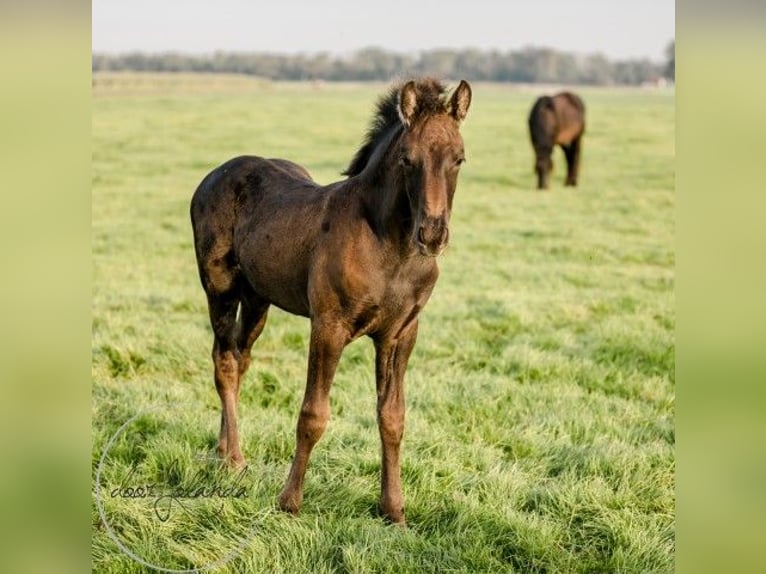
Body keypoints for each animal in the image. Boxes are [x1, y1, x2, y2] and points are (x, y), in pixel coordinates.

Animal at [190, 78, 472, 525]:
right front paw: (289, 502)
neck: (390, 246)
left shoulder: (401, 334)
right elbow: (313, 414)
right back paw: (234, 458)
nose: (432, 234)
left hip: (258, 298)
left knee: (240, 356)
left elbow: (392, 417)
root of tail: (216, 174)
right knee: (224, 361)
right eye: (407, 159)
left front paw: (393, 510)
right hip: (219, 287)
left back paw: (222, 449)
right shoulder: (328, 325)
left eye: (459, 158)